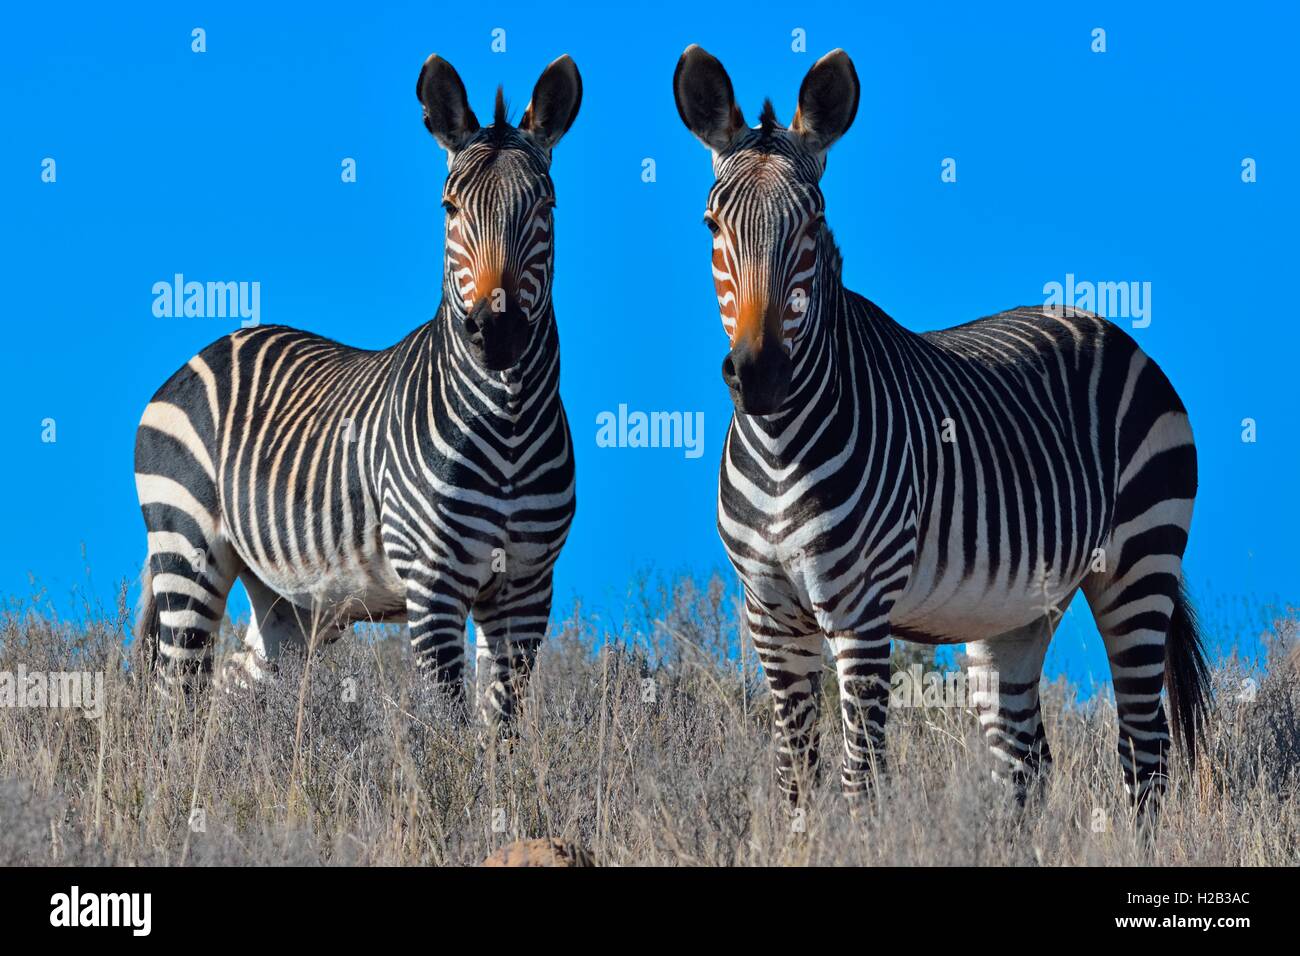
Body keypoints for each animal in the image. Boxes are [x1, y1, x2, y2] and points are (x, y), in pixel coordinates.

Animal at [131, 52, 579, 723]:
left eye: (545, 206)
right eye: (449, 209)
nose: (495, 332)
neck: (508, 423)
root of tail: (204, 351)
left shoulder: (526, 589)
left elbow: (501, 726)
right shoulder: (434, 583)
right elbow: (449, 725)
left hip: (291, 604)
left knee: (234, 687)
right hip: (187, 549)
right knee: (173, 699)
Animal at [676, 46, 1211, 822]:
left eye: (812, 221)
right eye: (712, 225)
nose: (761, 375)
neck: (780, 449)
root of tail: (1103, 323)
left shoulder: (860, 611)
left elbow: (860, 777)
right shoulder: (769, 613)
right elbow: (795, 776)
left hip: (1141, 561)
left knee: (1144, 755)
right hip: (1017, 610)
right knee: (1026, 763)